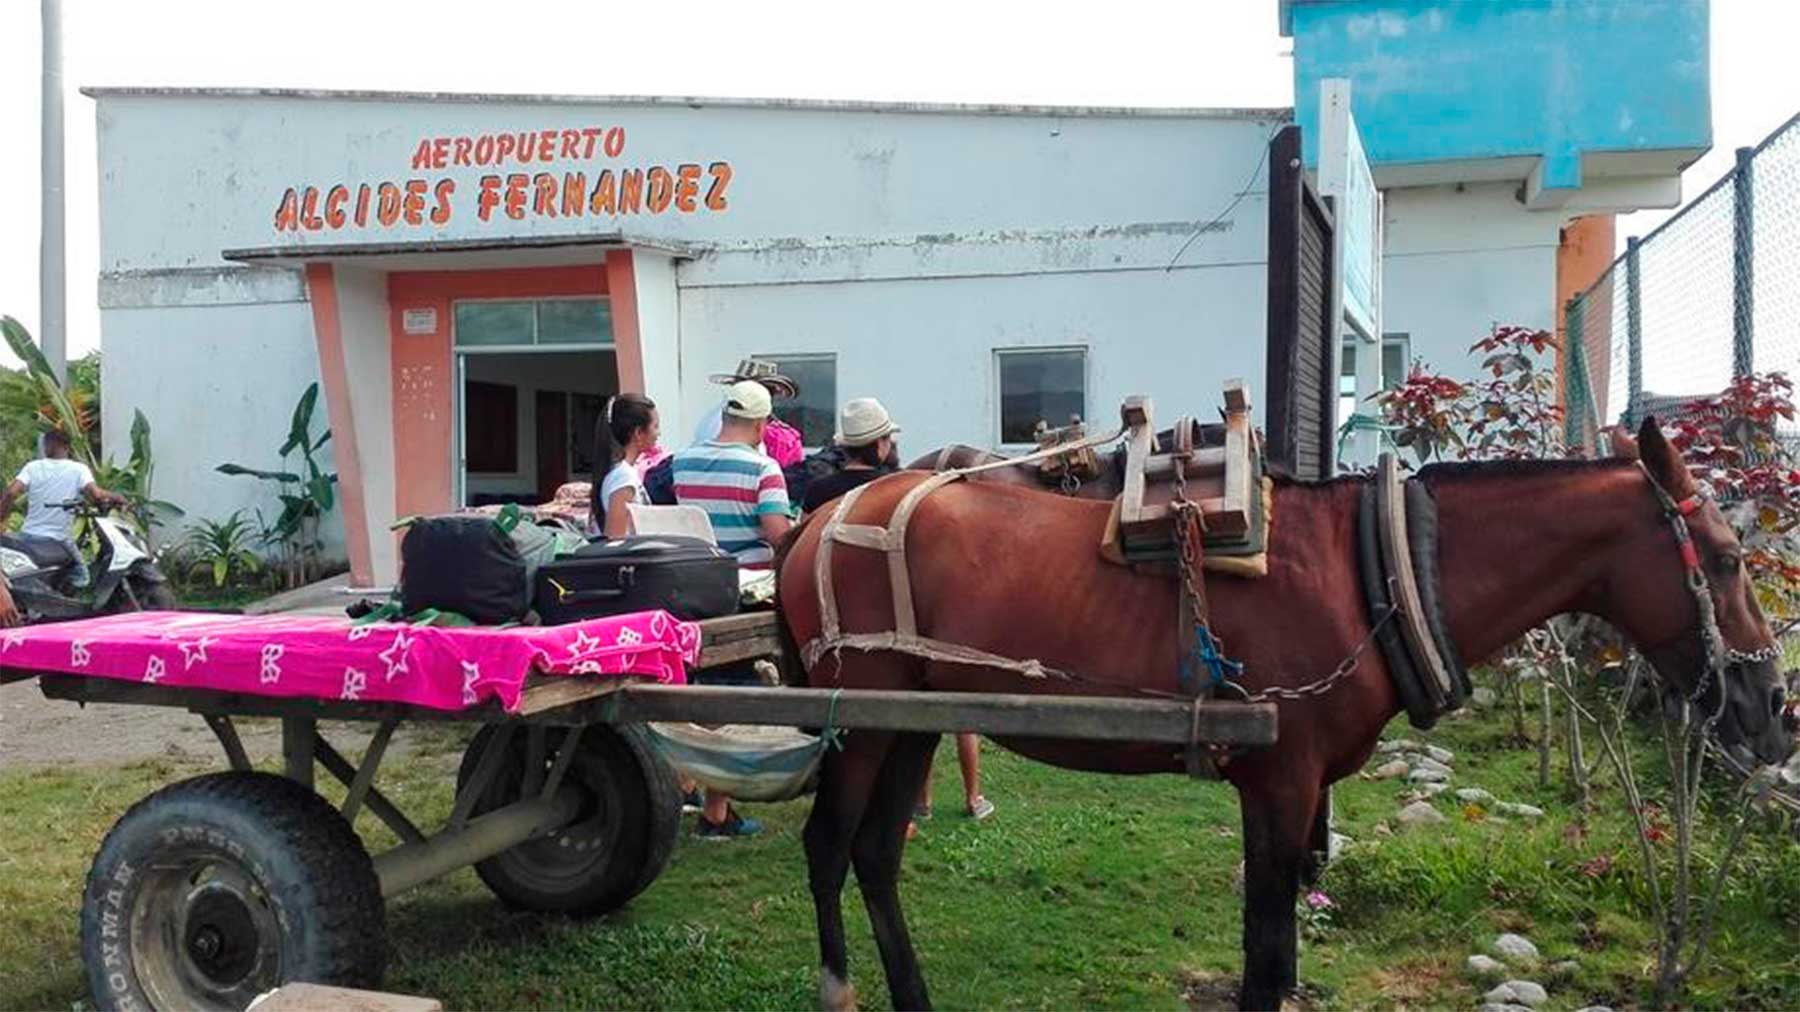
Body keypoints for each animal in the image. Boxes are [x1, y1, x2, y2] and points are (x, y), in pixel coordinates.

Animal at [781, 414, 1792, 1001]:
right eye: (1727, 559)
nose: (1773, 708)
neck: (1379, 569)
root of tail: (813, 523)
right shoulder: (1280, 779)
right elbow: (1266, 959)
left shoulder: (1298, 791)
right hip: (861, 715)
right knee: (828, 845)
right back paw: (837, 985)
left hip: (913, 719)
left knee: (875, 855)